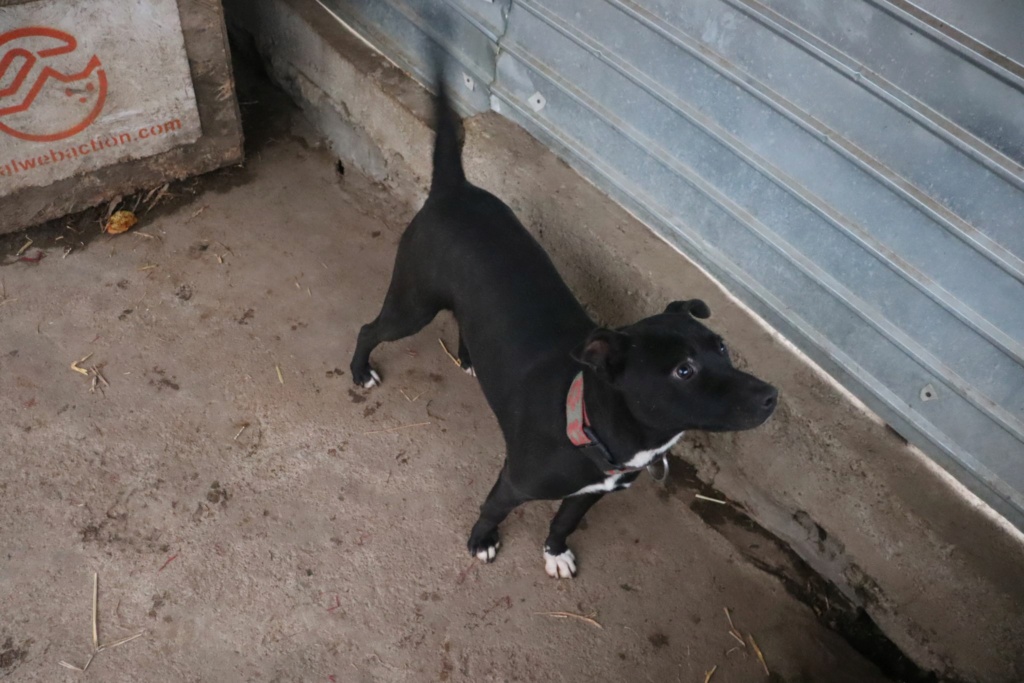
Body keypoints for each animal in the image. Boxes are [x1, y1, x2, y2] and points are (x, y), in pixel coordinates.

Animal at [352, 65, 774, 577]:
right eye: (683, 370)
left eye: (722, 347)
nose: (771, 396)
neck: (591, 422)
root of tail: (455, 189)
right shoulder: (515, 482)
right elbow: (492, 510)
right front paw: (482, 541)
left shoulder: (589, 495)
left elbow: (564, 521)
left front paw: (554, 552)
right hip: (413, 306)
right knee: (370, 330)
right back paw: (360, 371)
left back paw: (470, 360)